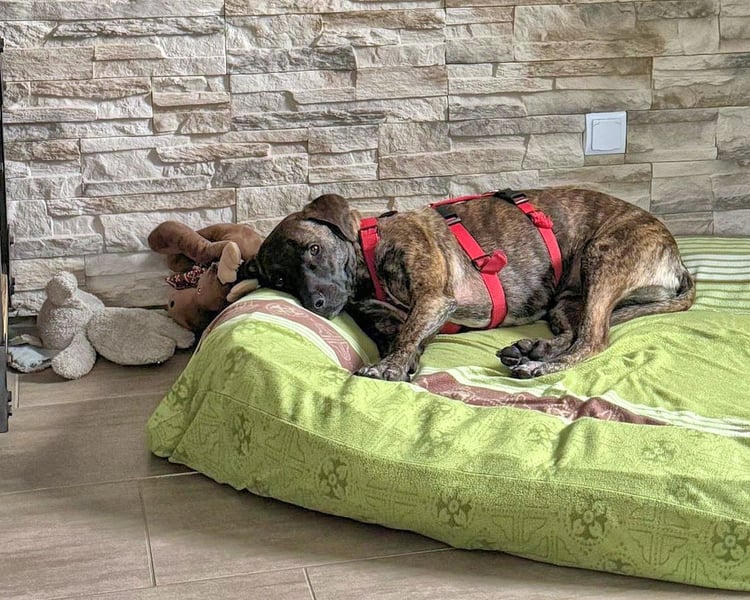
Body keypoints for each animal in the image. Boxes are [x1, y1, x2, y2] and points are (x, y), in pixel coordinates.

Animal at [255, 188, 695, 381]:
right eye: (279, 278)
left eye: (314, 249)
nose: (315, 304)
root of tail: (675, 257)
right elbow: (404, 336)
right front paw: (401, 362)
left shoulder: (433, 299)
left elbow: (407, 334)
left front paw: (387, 367)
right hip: (569, 297)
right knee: (577, 330)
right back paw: (533, 349)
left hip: (602, 258)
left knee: (593, 339)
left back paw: (538, 364)